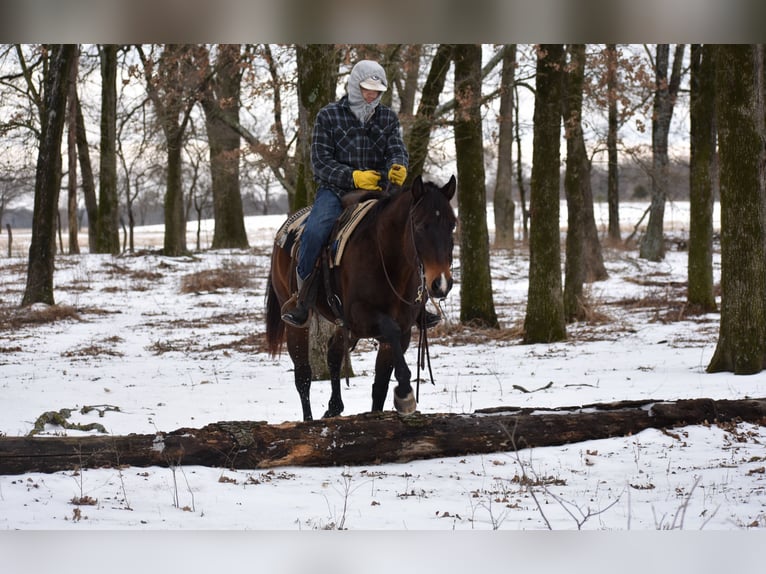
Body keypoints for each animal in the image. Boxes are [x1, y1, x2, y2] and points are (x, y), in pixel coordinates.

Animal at [265, 175, 457, 421]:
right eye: (420, 225)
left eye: (452, 224)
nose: (441, 283)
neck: (387, 259)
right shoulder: (361, 318)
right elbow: (390, 331)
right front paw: (405, 394)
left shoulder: (403, 328)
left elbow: (381, 384)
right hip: (296, 323)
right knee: (303, 376)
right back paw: (308, 421)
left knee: (334, 353)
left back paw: (334, 407)